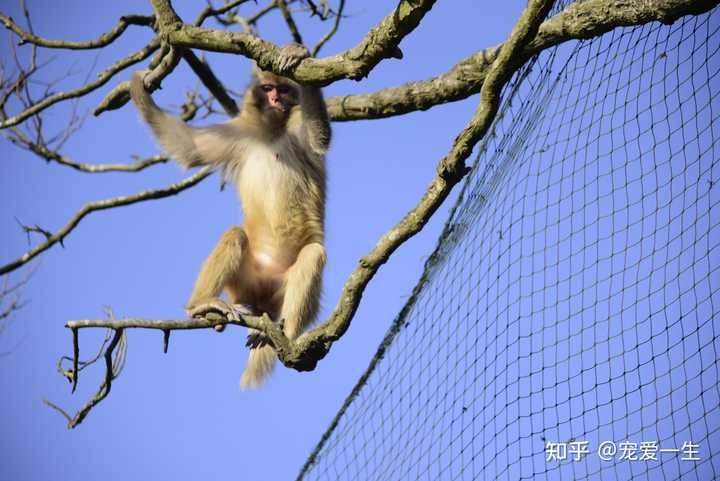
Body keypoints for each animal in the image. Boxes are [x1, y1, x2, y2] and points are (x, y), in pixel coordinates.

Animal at [130, 45, 330, 388]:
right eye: (268, 88)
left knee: (313, 254)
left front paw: (299, 56)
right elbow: (190, 147)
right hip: (245, 283)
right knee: (235, 235)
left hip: (279, 292)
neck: (270, 132)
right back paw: (201, 304)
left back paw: (287, 336)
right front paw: (139, 90)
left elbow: (318, 138)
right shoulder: (237, 133)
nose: (275, 99)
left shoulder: (297, 127)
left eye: (283, 90)